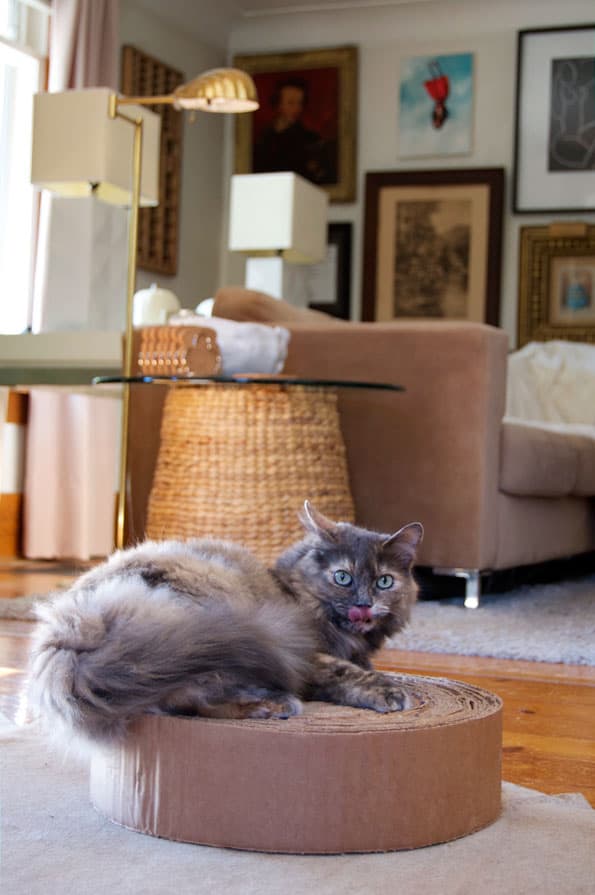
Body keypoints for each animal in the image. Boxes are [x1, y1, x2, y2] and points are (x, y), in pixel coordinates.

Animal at [26, 504, 424, 748]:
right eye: (343, 577)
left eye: (384, 582)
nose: (363, 604)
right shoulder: (308, 654)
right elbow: (346, 672)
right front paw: (389, 692)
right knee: (185, 697)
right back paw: (272, 704)